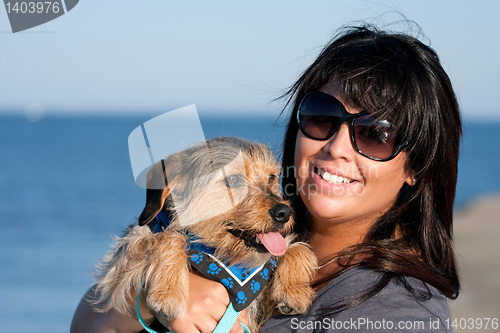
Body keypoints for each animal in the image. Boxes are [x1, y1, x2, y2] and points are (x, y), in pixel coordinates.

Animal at [91, 136, 316, 330]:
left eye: (271, 177)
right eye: (232, 179)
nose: (284, 212)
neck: (222, 258)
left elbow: (295, 248)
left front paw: (293, 290)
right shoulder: (117, 275)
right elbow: (167, 236)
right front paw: (168, 293)